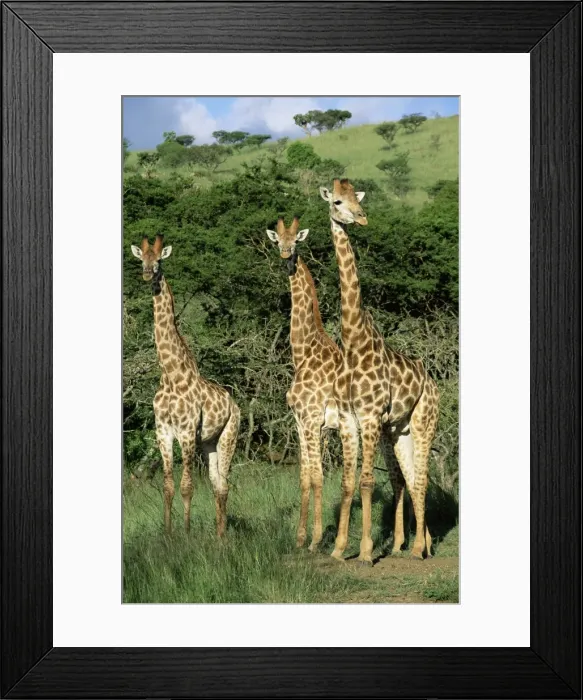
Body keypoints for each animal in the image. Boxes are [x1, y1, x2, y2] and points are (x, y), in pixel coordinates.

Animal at [130, 235, 240, 537]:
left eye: (159, 260)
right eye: (141, 259)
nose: (148, 274)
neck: (171, 374)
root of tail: (235, 404)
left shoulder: (188, 432)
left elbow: (187, 486)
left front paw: (188, 535)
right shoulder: (163, 432)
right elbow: (168, 487)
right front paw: (169, 536)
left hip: (229, 435)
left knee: (224, 484)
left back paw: (222, 537)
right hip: (209, 444)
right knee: (217, 484)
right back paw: (219, 536)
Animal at [320, 179, 439, 564]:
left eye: (357, 198)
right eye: (337, 201)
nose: (361, 217)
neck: (353, 343)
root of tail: (434, 383)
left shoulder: (370, 417)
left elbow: (368, 481)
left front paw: (366, 552)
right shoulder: (348, 420)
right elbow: (347, 482)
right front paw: (338, 549)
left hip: (424, 421)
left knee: (421, 479)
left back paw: (417, 549)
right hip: (399, 431)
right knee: (411, 477)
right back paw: (423, 543)